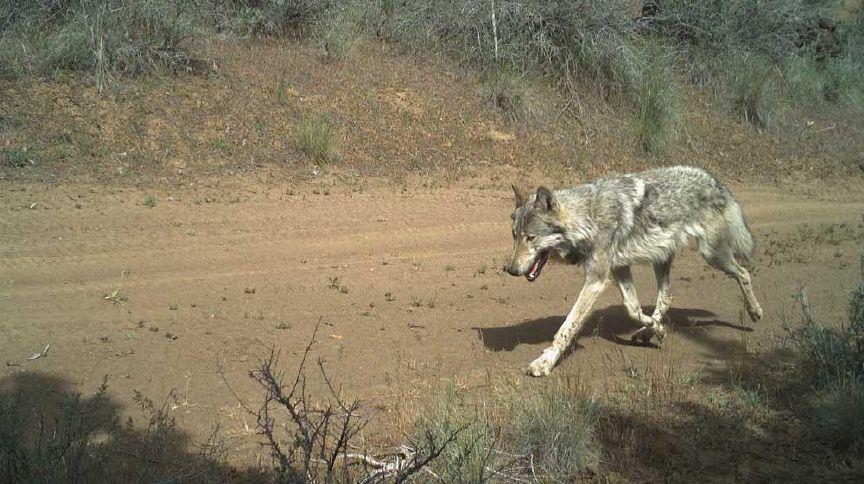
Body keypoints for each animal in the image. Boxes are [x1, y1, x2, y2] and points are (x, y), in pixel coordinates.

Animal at [504, 165, 762, 377]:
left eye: (531, 238)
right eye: (515, 236)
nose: (510, 270)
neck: (588, 218)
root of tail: (714, 179)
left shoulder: (597, 280)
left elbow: (567, 327)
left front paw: (544, 362)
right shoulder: (619, 269)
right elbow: (632, 308)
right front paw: (657, 330)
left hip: (712, 255)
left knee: (743, 272)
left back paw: (755, 312)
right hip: (663, 260)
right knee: (666, 298)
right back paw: (648, 333)